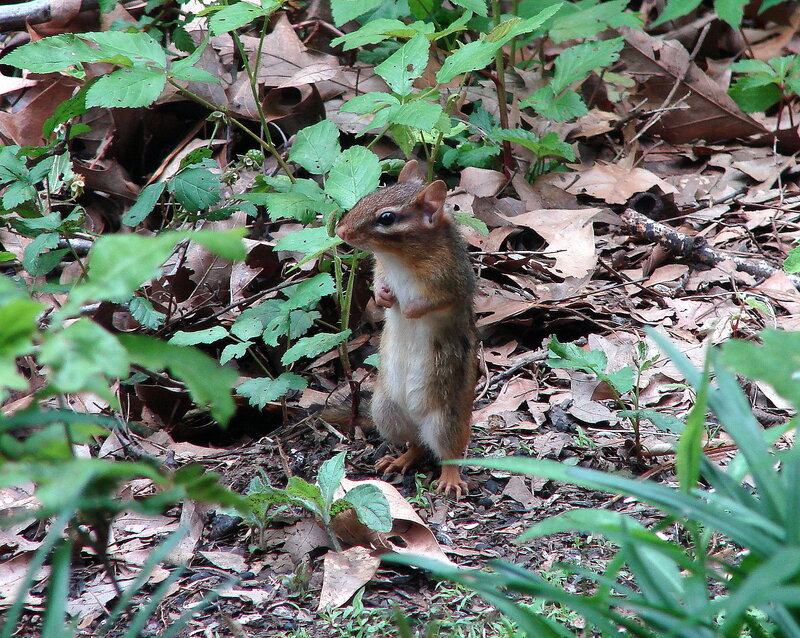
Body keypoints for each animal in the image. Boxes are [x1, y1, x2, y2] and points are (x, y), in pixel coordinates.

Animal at [335, 160, 477, 499]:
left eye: (387, 218)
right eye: (369, 196)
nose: (340, 230)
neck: (399, 259)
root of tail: (417, 420)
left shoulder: (452, 285)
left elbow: (434, 304)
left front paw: (409, 309)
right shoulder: (381, 269)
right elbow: (377, 287)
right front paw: (386, 298)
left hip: (445, 421)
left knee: (448, 451)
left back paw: (450, 478)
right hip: (386, 412)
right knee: (416, 444)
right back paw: (400, 459)